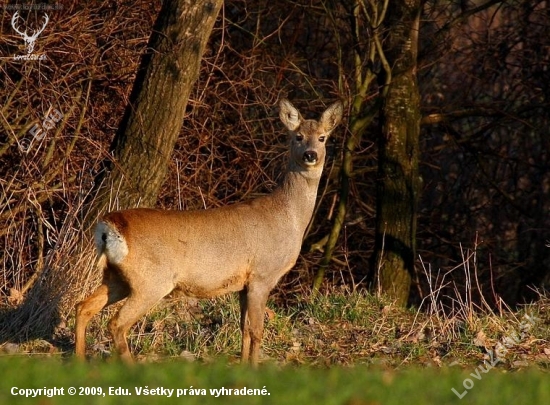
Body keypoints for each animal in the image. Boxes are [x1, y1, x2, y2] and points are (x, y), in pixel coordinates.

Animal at [75, 98, 342, 362]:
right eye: (297, 136)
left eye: (322, 138)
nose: (310, 154)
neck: (289, 216)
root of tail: (110, 225)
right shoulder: (262, 274)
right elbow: (257, 331)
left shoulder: (244, 283)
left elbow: (244, 329)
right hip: (151, 281)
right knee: (117, 324)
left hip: (117, 277)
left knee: (83, 307)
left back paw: (79, 361)